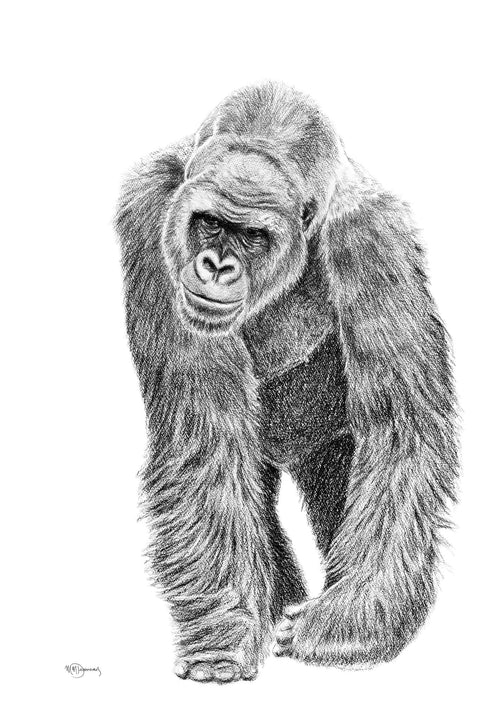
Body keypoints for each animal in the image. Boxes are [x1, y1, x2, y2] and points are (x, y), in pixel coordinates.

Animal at [115, 81, 457, 683]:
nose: (215, 266)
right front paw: (224, 636)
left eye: (252, 235)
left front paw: (347, 627)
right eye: (211, 223)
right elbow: (207, 445)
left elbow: (401, 433)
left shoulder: (374, 240)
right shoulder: (150, 209)